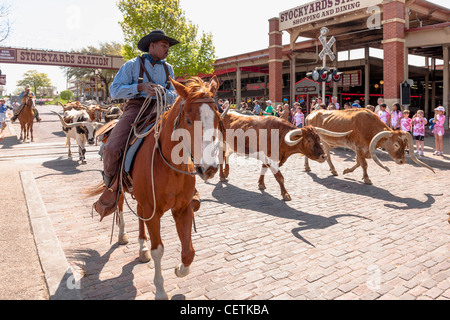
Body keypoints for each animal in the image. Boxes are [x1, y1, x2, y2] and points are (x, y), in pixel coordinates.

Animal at [89, 75, 222, 300]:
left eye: (218, 118)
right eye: (188, 120)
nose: (209, 168)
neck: (169, 164)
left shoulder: (183, 208)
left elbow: (189, 251)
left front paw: (179, 269)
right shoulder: (154, 211)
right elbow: (158, 250)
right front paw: (160, 290)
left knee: (139, 214)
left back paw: (142, 247)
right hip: (121, 187)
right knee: (120, 206)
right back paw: (122, 236)